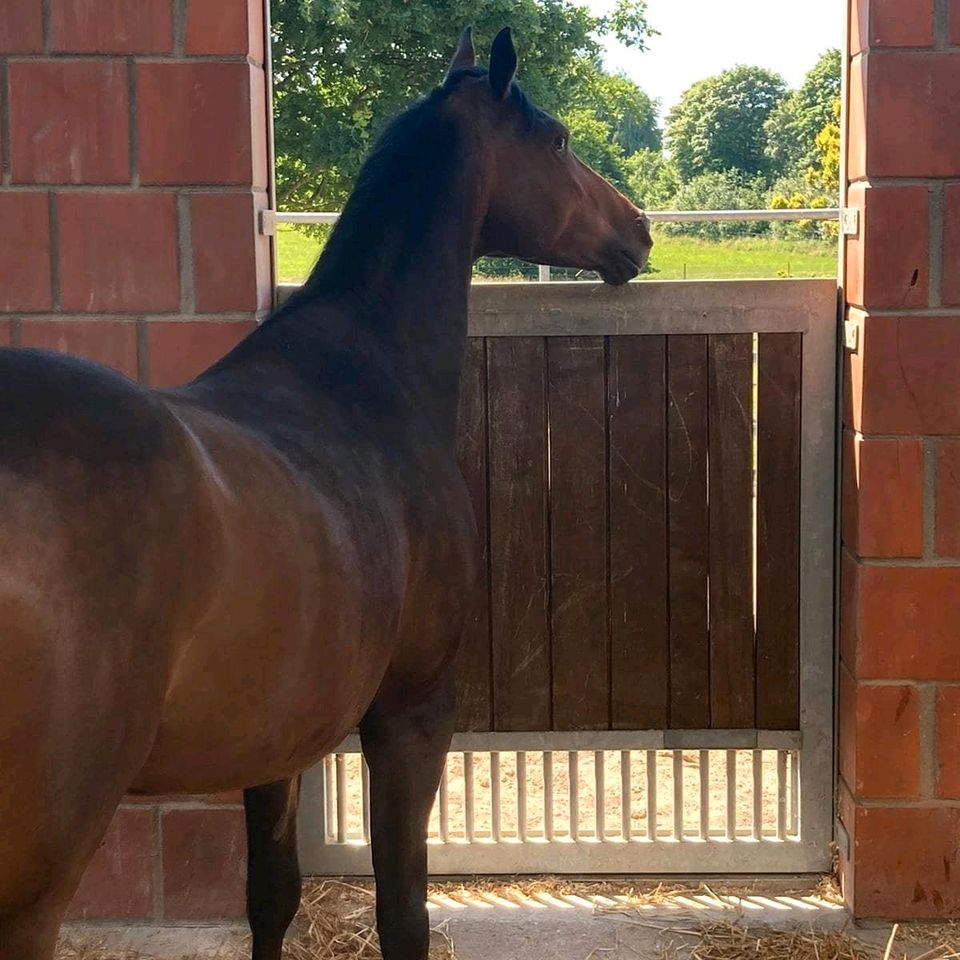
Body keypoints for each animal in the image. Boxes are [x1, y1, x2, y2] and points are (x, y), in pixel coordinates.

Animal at [0, 26, 652, 956]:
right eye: (558, 140)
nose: (638, 229)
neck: (367, 371)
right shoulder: (411, 712)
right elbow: (402, 911)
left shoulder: (273, 736)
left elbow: (272, 894)